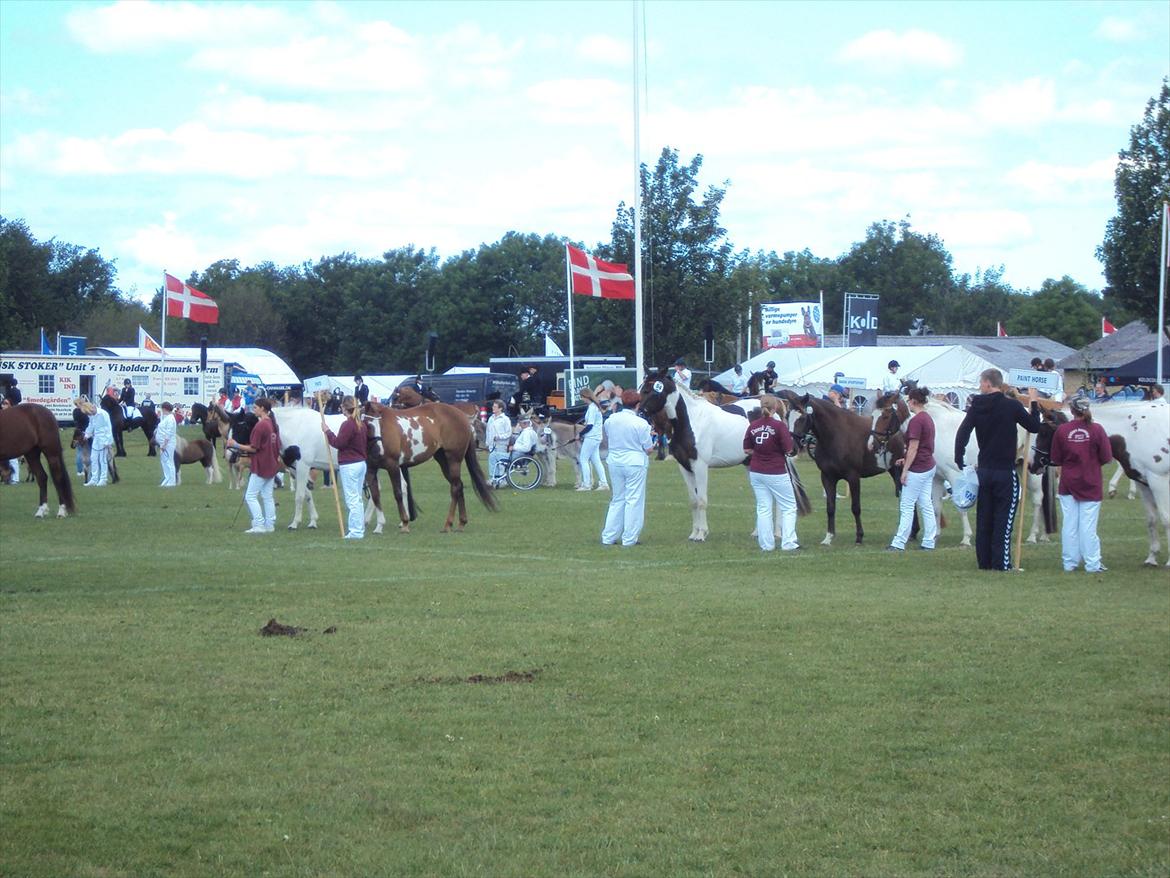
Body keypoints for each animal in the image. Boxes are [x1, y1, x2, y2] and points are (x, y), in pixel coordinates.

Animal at [365, 400, 493, 536]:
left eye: (379, 423)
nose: (379, 448)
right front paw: (379, 526)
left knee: (455, 488)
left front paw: (404, 523)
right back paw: (461, 523)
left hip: (454, 459)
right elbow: (375, 496)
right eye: (368, 425)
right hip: (443, 461)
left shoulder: (393, 466)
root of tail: (463, 416)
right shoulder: (371, 470)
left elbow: (398, 493)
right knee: (459, 485)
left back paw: (448, 524)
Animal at [636, 372, 809, 543]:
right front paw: (693, 533)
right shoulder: (684, 467)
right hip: (751, 463)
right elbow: (693, 501)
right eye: (641, 389)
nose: (640, 413)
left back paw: (778, 533)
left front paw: (701, 534)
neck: (691, 421)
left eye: (652, 391)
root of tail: (775, 413)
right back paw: (758, 533)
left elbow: (702, 500)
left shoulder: (700, 466)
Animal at [776, 391, 903, 543]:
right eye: (787, 416)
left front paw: (859, 536)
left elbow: (856, 508)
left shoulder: (853, 477)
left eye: (802, 417)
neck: (836, 436)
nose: (791, 449)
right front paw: (829, 537)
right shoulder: (827, 477)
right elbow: (830, 507)